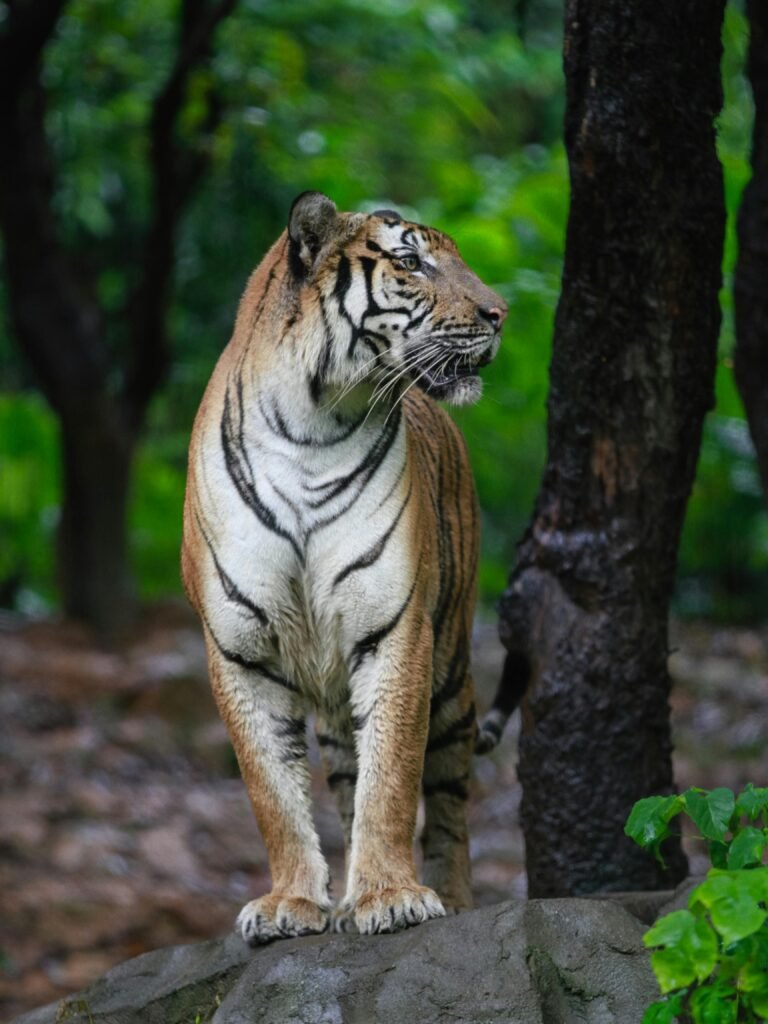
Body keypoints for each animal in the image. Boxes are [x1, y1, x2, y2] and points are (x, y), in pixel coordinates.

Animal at [180, 192, 518, 942]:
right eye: (412, 263)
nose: (500, 312)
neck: (312, 425)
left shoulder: (395, 629)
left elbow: (391, 776)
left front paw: (390, 896)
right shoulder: (238, 650)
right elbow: (273, 791)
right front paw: (293, 901)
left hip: (452, 669)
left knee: (447, 798)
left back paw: (452, 896)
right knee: (343, 778)